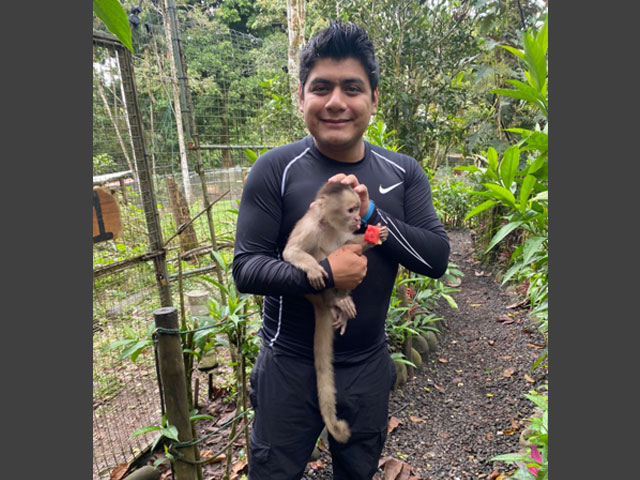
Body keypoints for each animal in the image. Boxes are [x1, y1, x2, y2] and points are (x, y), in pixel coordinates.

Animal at [282, 181, 388, 442]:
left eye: (357, 209)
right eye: (350, 210)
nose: (358, 219)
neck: (329, 225)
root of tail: (317, 302)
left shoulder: (344, 231)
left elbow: (351, 243)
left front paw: (375, 237)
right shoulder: (310, 227)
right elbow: (290, 253)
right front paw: (312, 268)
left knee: (351, 250)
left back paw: (342, 303)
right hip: (315, 291)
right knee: (324, 254)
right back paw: (334, 299)